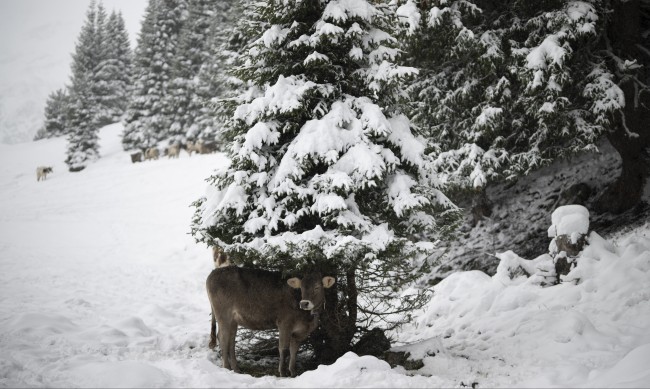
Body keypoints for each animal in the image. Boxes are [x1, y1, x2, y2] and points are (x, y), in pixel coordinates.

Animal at [206, 266, 334, 376]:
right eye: (301, 288)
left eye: (317, 287)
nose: (304, 303)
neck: (309, 319)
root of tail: (213, 273)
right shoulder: (284, 324)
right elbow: (283, 349)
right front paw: (283, 373)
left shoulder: (299, 332)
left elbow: (294, 351)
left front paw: (293, 372)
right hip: (224, 315)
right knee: (222, 337)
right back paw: (227, 368)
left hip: (233, 320)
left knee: (231, 341)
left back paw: (236, 369)